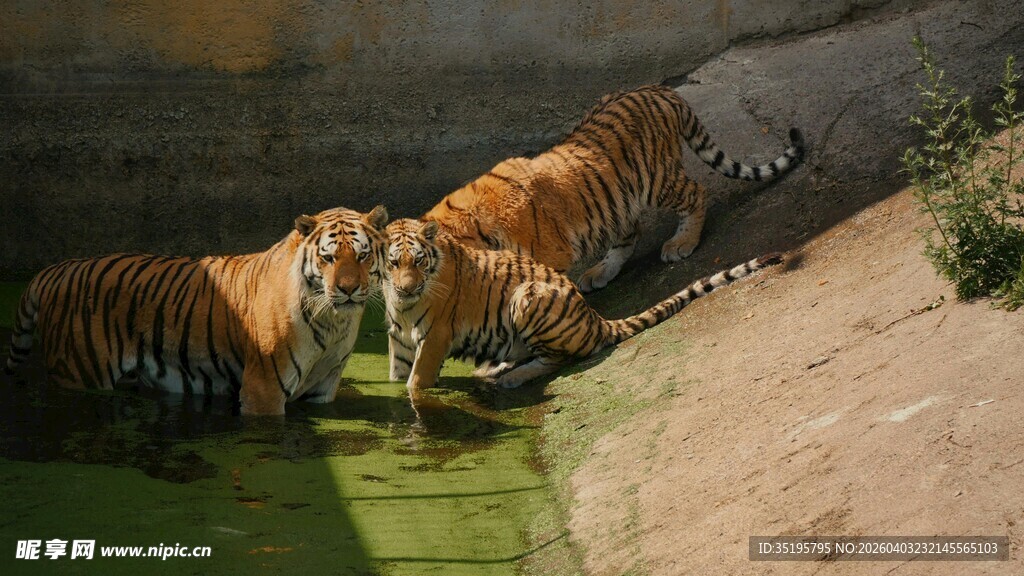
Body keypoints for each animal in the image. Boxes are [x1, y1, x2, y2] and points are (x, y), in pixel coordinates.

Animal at [4, 205, 388, 416]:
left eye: (362, 255)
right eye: (328, 258)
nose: (348, 289)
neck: (334, 322)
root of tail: (55, 269)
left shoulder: (322, 388)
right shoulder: (262, 389)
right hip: (80, 372)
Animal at [383, 218, 782, 392]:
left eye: (418, 262)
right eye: (394, 263)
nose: (405, 289)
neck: (402, 306)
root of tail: (596, 319)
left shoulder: (435, 336)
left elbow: (416, 381)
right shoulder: (399, 336)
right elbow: (397, 374)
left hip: (529, 298)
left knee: (559, 359)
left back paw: (511, 378)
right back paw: (493, 369)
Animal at [422, 84, 804, 293]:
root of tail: (659, 89)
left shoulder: (550, 258)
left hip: (657, 180)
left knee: (697, 193)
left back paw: (681, 243)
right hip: (615, 201)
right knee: (628, 235)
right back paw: (599, 272)